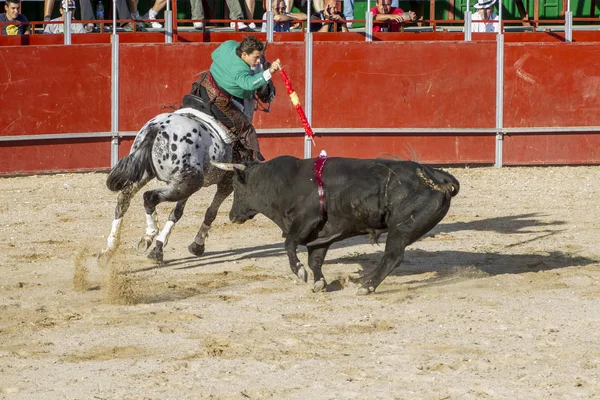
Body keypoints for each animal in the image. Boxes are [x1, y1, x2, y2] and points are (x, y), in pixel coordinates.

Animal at [101, 61, 276, 264]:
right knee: (149, 197)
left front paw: (158, 249)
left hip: (157, 175)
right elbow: (210, 212)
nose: (271, 91)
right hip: (190, 181)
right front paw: (197, 245)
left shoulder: (184, 184)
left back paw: (109, 249)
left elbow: (176, 213)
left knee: (124, 198)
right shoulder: (226, 183)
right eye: (265, 63)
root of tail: (156, 129)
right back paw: (149, 235)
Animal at [216, 155, 460, 296]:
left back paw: (366, 286)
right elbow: (315, 261)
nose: (232, 215)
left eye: (236, 186)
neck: (283, 182)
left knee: (393, 257)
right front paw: (319, 283)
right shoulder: (321, 236)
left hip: (402, 229)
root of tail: (437, 176)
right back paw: (361, 279)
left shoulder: (305, 221)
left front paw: (300, 272)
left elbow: (290, 246)